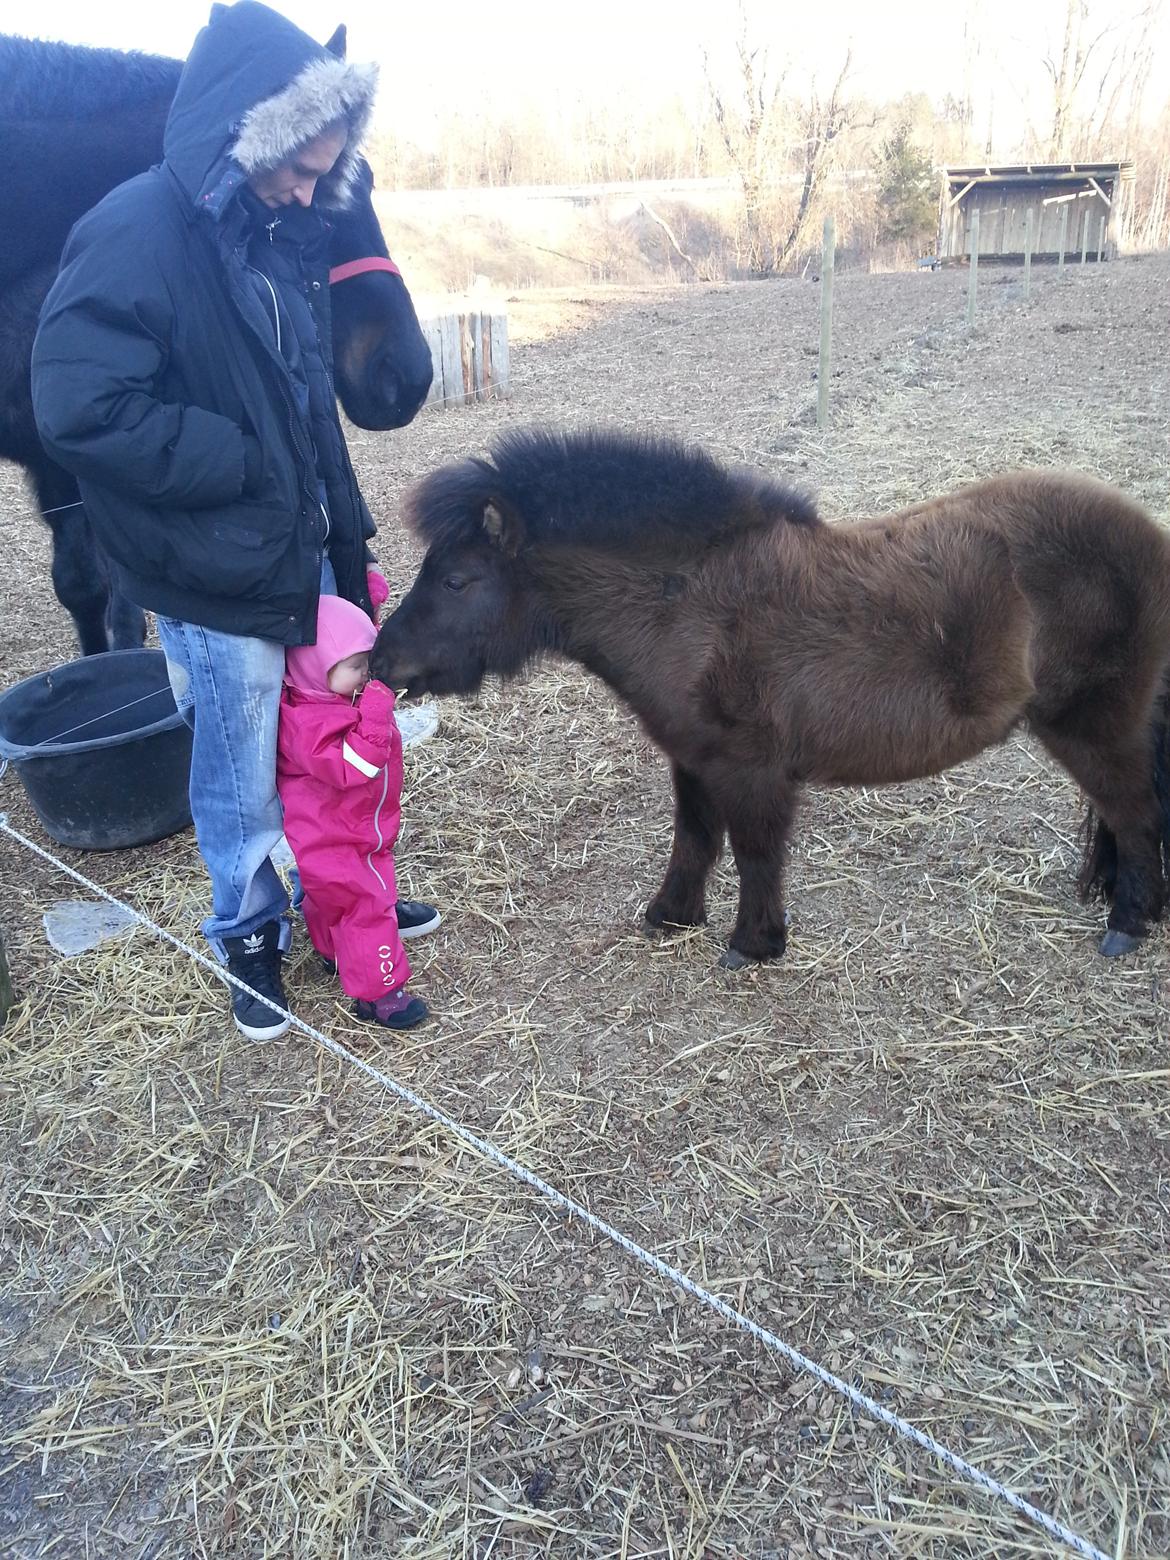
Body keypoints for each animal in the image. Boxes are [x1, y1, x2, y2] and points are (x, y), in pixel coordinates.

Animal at [0, 31, 436, 652]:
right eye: (320, 203)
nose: (408, 375)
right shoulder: (64, 457)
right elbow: (88, 587)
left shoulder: (60, 462)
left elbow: (91, 586)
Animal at [372, 427, 1170, 960]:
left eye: (457, 580)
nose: (380, 660)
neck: (688, 603)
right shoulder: (693, 760)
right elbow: (695, 839)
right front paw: (672, 914)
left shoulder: (751, 769)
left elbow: (755, 850)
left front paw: (753, 942)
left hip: (1094, 730)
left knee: (1135, 815)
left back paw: (1127, 926)